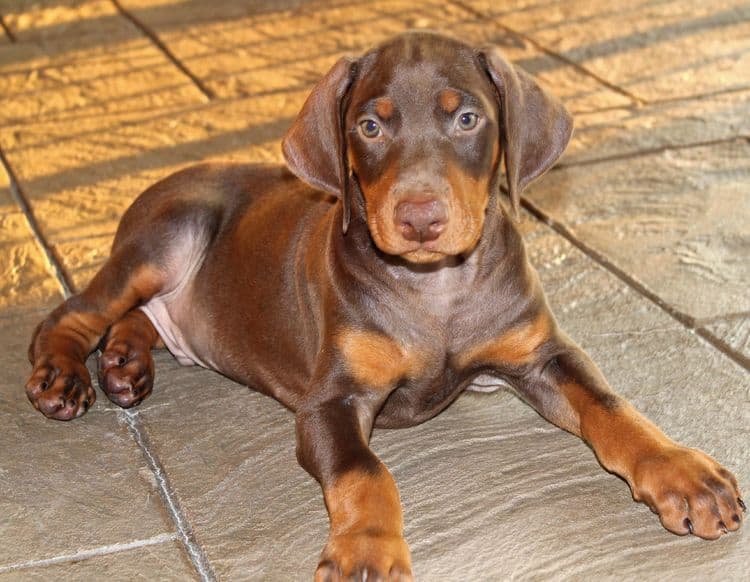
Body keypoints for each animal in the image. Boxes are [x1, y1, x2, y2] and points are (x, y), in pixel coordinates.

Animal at [25, 33, 748, 582]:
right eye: (369, 126)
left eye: (467, 119)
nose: (420, 218)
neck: (435, 290)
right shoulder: (330, 401)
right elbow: (366, 471)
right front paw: (365, 552)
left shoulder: (541, 354)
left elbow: (611, 405)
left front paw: (683, 473)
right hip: (169, 232)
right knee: (76, 312)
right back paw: (64, 376)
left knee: (140, 318)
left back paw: (125, 363)